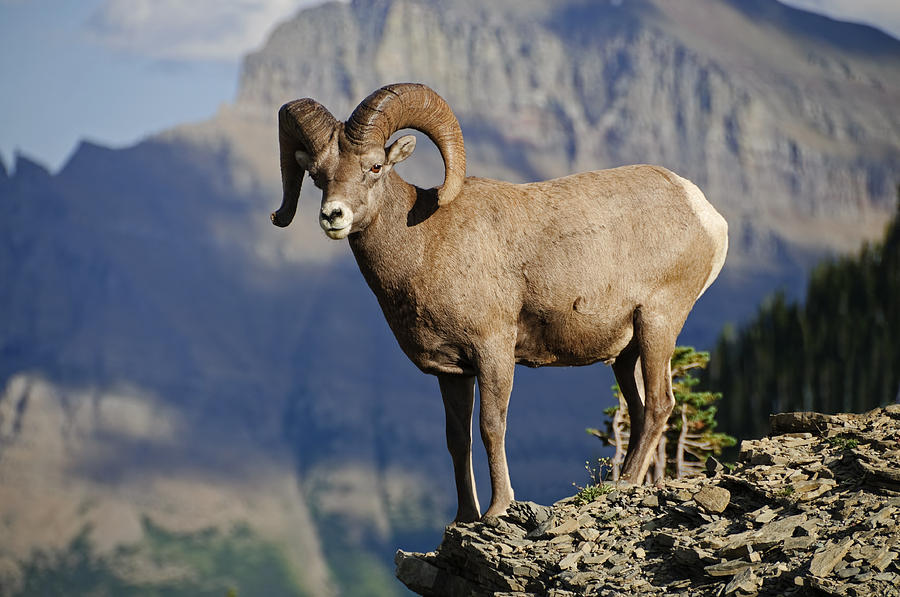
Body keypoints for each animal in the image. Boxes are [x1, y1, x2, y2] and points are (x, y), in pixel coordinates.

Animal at [270, 81, 728, 520]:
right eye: (317, 174)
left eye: (375, 166)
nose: (333, 216)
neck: (425, 244)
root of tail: (705, 212)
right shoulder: (452, 371)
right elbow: (458, 440)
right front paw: (463, 517)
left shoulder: (493, 352)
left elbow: (492, 427)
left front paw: (498, 508)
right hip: (625, 353)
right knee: (638, 407)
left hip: (657, 325)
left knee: (659, 406)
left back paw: (626, 484)